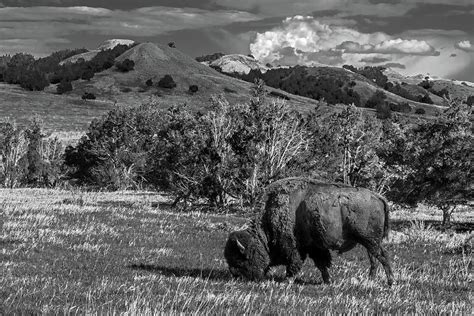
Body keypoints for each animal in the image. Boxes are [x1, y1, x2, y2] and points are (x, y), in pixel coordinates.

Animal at [224, 178, 394, 286]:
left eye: (239, 259)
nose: (237, 277)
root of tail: (378, 196)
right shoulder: (315, 247)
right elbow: (322, 264)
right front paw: (327, 281)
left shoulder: (295, 248)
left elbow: (295, 263)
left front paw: (286, 281)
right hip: (371, 243)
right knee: (375, 259)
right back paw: (372, 280)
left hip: (370, 241)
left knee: (382, 256)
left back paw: (390, 282)